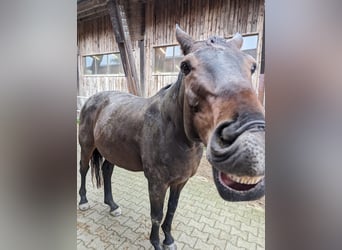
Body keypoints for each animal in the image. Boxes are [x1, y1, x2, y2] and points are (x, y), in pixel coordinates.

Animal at [79, 25, 266, 250]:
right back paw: (83, 201)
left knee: (107, 172)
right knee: (83, 169)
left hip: (112, 151)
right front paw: (156, 243)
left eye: (252, 66)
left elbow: (171, 210)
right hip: (87, 147)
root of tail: (93, 99)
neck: (174, 133)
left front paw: (168, 239)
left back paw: (113, 205)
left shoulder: (180, 181)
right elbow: (157, 214)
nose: (250, 143)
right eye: (185, 66)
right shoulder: (157, 183)